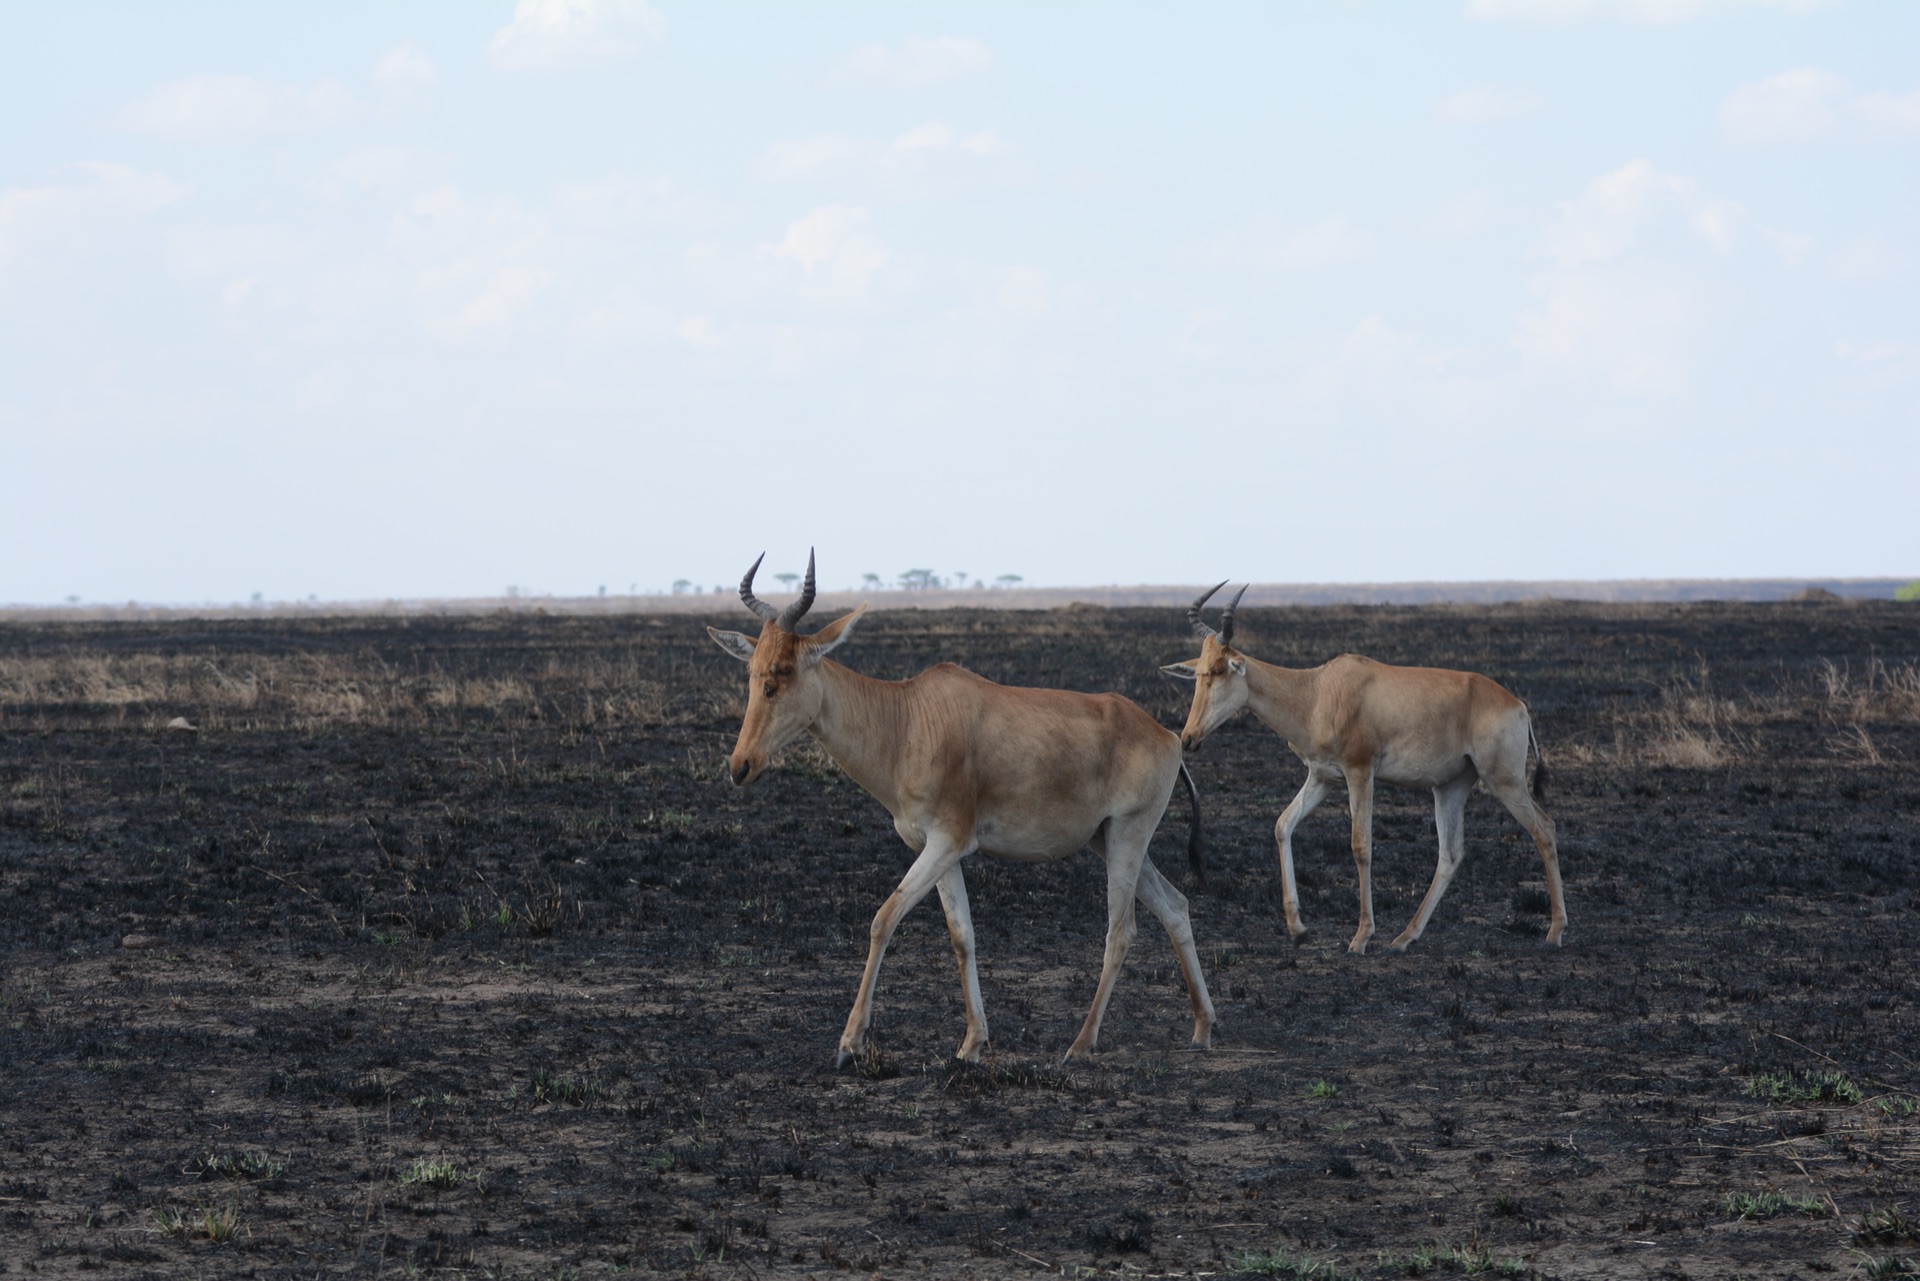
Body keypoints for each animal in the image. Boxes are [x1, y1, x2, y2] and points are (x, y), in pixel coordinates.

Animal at [706, 553, 1213, 1060]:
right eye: (752, 671)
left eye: (782, 671)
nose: (740, 765)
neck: (908, 717)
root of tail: (1167, 736)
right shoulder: (938, 849)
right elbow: (961, 935)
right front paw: (972, 1042)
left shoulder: (949, 841)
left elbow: (883, 919)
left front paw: (849, 1042)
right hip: (1106, 840)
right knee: (1175, 906)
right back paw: (1203, 1027)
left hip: (1128, 834)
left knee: (1120, 931)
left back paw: (1081, 1044)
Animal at [1159, 587, 1566, 956]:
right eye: (1198, 672)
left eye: (1219, 670)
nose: (1189, 738)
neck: (1317, 690)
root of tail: (1517, 704)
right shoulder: (1322, 778)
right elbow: (1282, 825)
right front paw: (1298, 929)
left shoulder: (1360, 772)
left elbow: (1361, 846)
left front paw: (1360, 938)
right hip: (1450, 786)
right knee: (1451, 854)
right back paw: (1403, 939)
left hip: (1504, 780)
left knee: (1544, 829)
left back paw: (1554, 932)